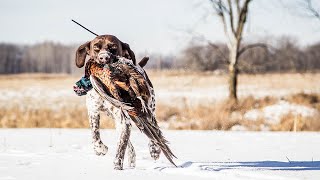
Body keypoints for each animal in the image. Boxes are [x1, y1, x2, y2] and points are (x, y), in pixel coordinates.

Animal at [75, 34, 165, 169]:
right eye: (96, 48)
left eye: (113, 48)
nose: (104, 58)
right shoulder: (93, 111)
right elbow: (95, 134)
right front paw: (100, 149)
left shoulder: (125, 119)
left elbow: (121, 146)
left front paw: (117, 167)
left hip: (148, 107)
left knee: (154, 129)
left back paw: (154, 149)